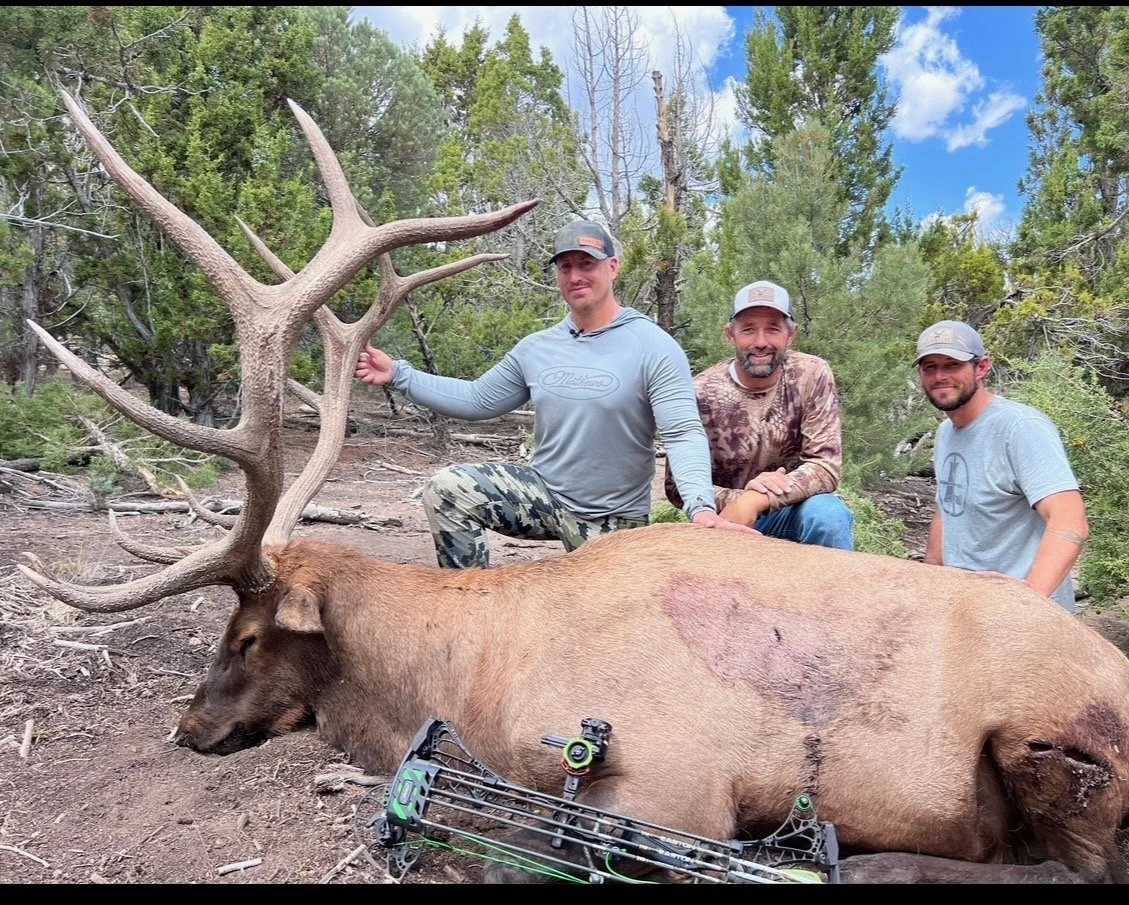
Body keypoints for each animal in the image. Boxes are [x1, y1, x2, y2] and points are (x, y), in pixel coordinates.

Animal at [18, 90, 1129, 885]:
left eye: (246, 636)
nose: (188, 725)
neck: (470, 673)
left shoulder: (677, 789)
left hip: (1054, 743)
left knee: (1064, 865)